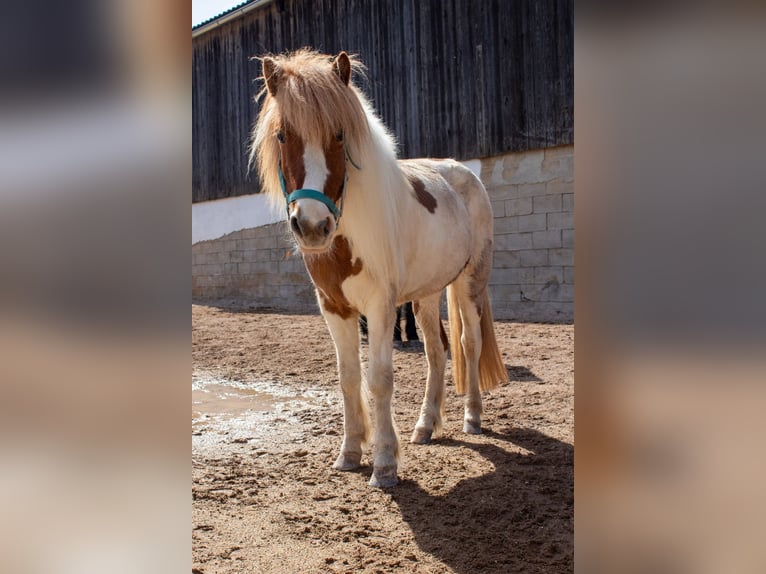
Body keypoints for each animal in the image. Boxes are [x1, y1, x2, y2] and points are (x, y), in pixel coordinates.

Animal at [250, 49, 508, 487]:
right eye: (282, 135)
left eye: (340, 134)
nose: (313, 226)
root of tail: (463, 172)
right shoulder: (334, 308)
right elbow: (348, 377)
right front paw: (350, 452)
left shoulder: (381, 307)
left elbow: (380, 379)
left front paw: (385, 463)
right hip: (426, 295)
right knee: (436, 351)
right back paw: (425, 426)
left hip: (470, 282)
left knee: (469, 344)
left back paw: (472, 417)